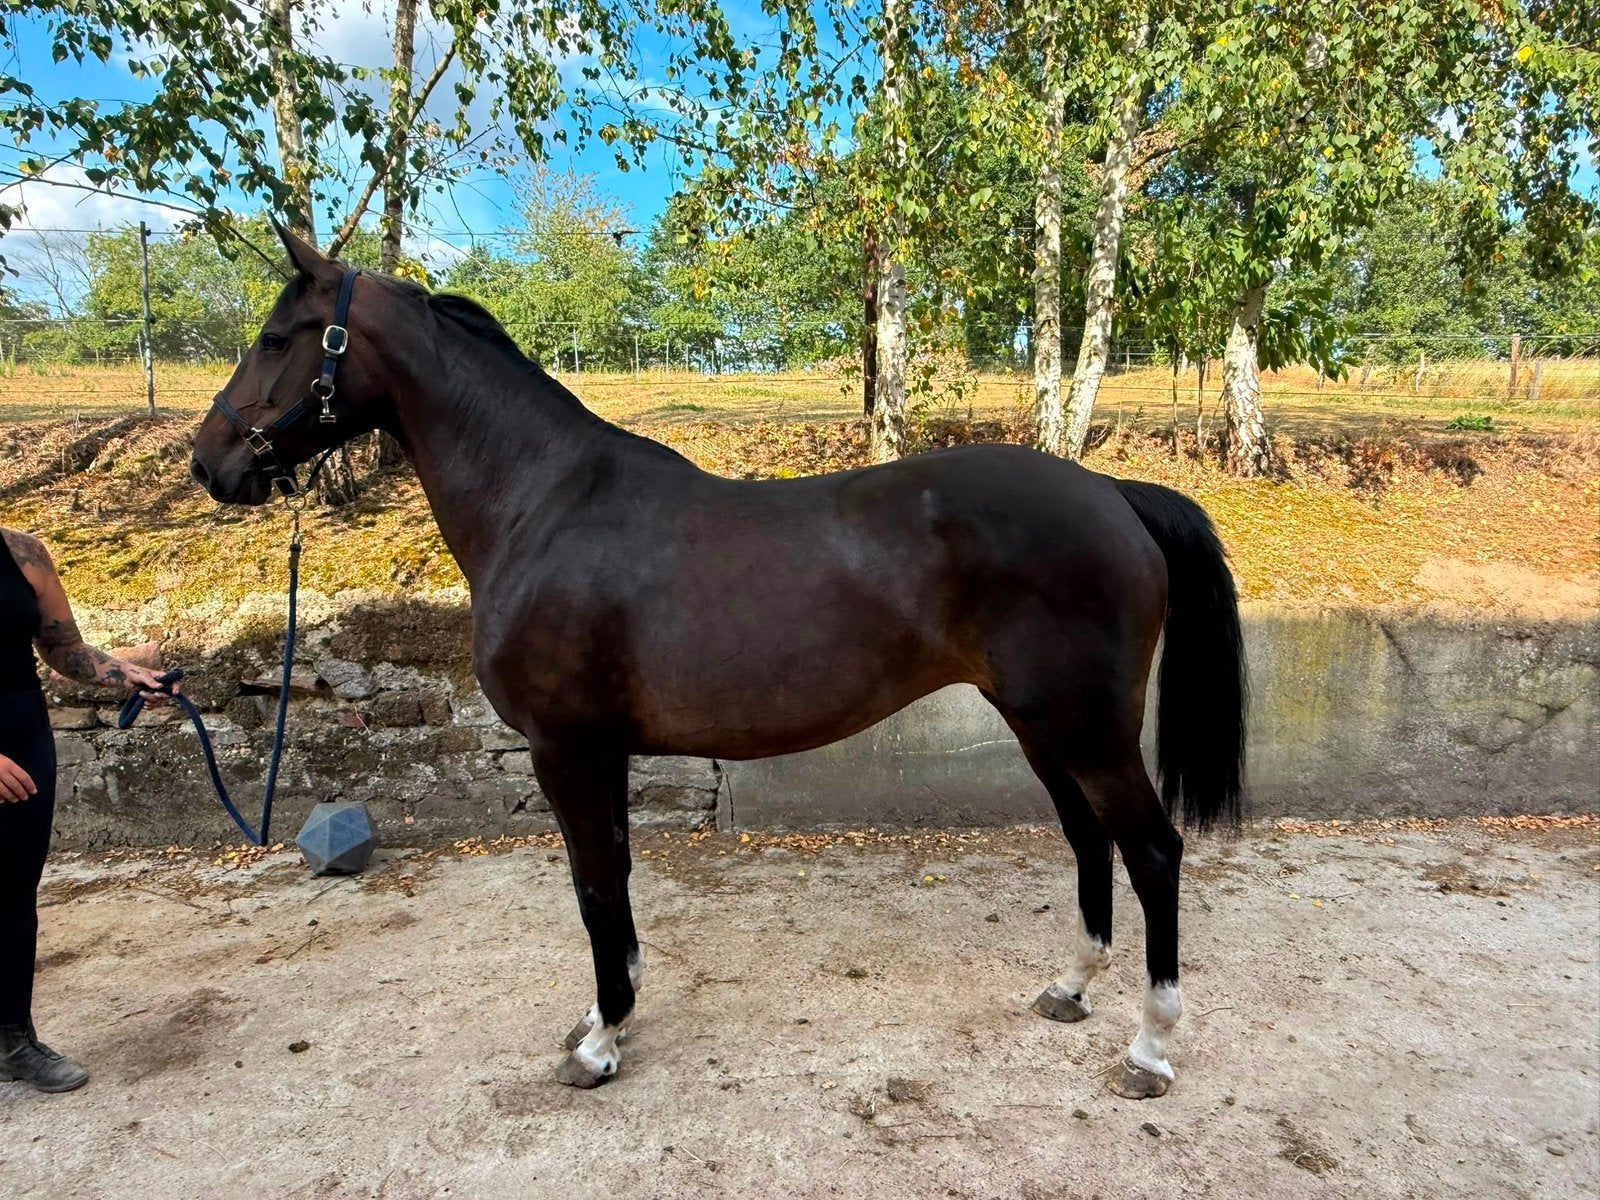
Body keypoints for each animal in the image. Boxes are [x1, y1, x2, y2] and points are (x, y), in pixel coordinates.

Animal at [190, 225, 1247, 1099]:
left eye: (278, 338)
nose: (209, 464)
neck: (545, 504)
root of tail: (1111, 491)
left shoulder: (567, 749)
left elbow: (594, 885)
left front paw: (599, 1044)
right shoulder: (600, 753)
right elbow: (611, 879)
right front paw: (606, 1014)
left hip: (1084, 727)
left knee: (1153, 851)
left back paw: (1149, 1049)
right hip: (1039, 724)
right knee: (1089, 840)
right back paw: (1069, 988)